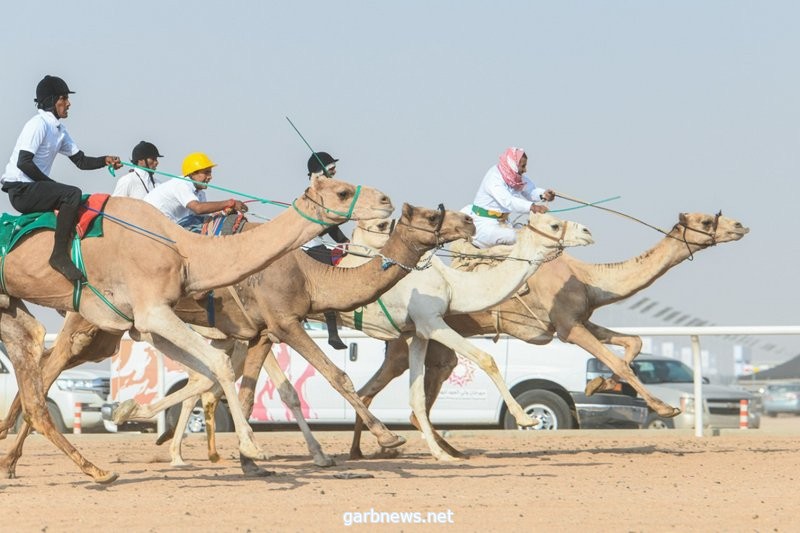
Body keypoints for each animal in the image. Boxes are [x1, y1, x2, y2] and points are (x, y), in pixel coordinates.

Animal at [0, 203, 472, 474]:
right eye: (432, 216)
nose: (468, 220)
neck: (310, 275)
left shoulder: (260, 333)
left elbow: (252, 393)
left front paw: (254, 460)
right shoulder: (285, 321)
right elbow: (336, 375)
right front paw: (388, 439)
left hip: (110, 332)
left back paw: (15, 457)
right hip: (92, 326)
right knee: (47, 368)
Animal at [350, 212, 752, 458]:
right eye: (706, 220)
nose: (740, 226)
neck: (589, 278)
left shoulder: (580, 319)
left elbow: (633, 342)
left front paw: (597, 385)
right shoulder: (568, 327)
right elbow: (620, 364)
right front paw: (666, 406)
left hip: (426, 342)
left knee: (391, 393)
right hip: (407, 340)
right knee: (383, 390)